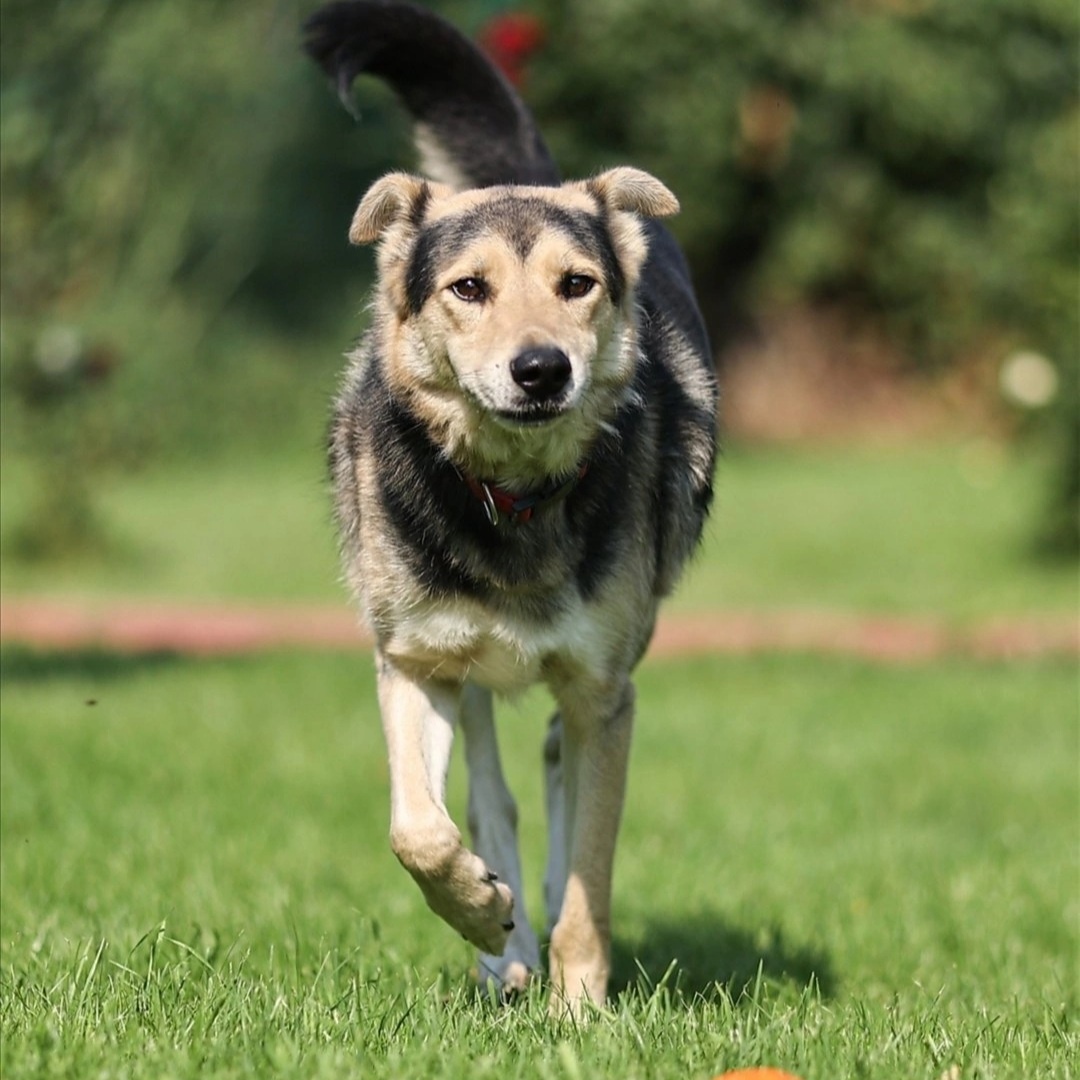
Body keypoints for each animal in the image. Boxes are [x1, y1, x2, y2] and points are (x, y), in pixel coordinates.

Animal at [304, 0, 717, 1010]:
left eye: (578, 284)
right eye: (468, 288)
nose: (541, 369)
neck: (514, 496)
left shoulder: (606, 688)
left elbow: (592, 867)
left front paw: (581, 1007)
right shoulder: (414, 661)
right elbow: (417, 830)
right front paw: (482, 911)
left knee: (558, 773)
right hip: (464, 670)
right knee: (491, 796)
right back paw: (505, 943)